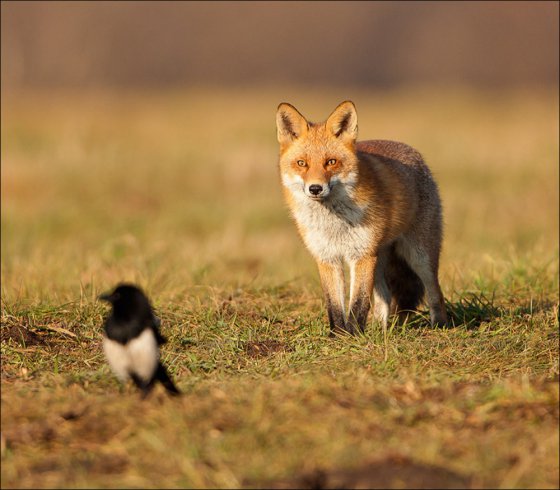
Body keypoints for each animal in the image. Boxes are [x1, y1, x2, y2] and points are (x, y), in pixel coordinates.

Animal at [276, 99, 446, 336]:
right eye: (302, 163)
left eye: (331, 162)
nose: (315, 188)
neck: (333, 224)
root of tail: (415, 154)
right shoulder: (327, 257)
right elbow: (334, 305)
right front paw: (338, 336)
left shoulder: (362, 255)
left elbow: (358, 303)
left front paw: (354, 335)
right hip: (380, 259)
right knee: (385, 297)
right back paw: (382, 332)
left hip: (419, 255)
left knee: (435, 292)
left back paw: (440, 325)